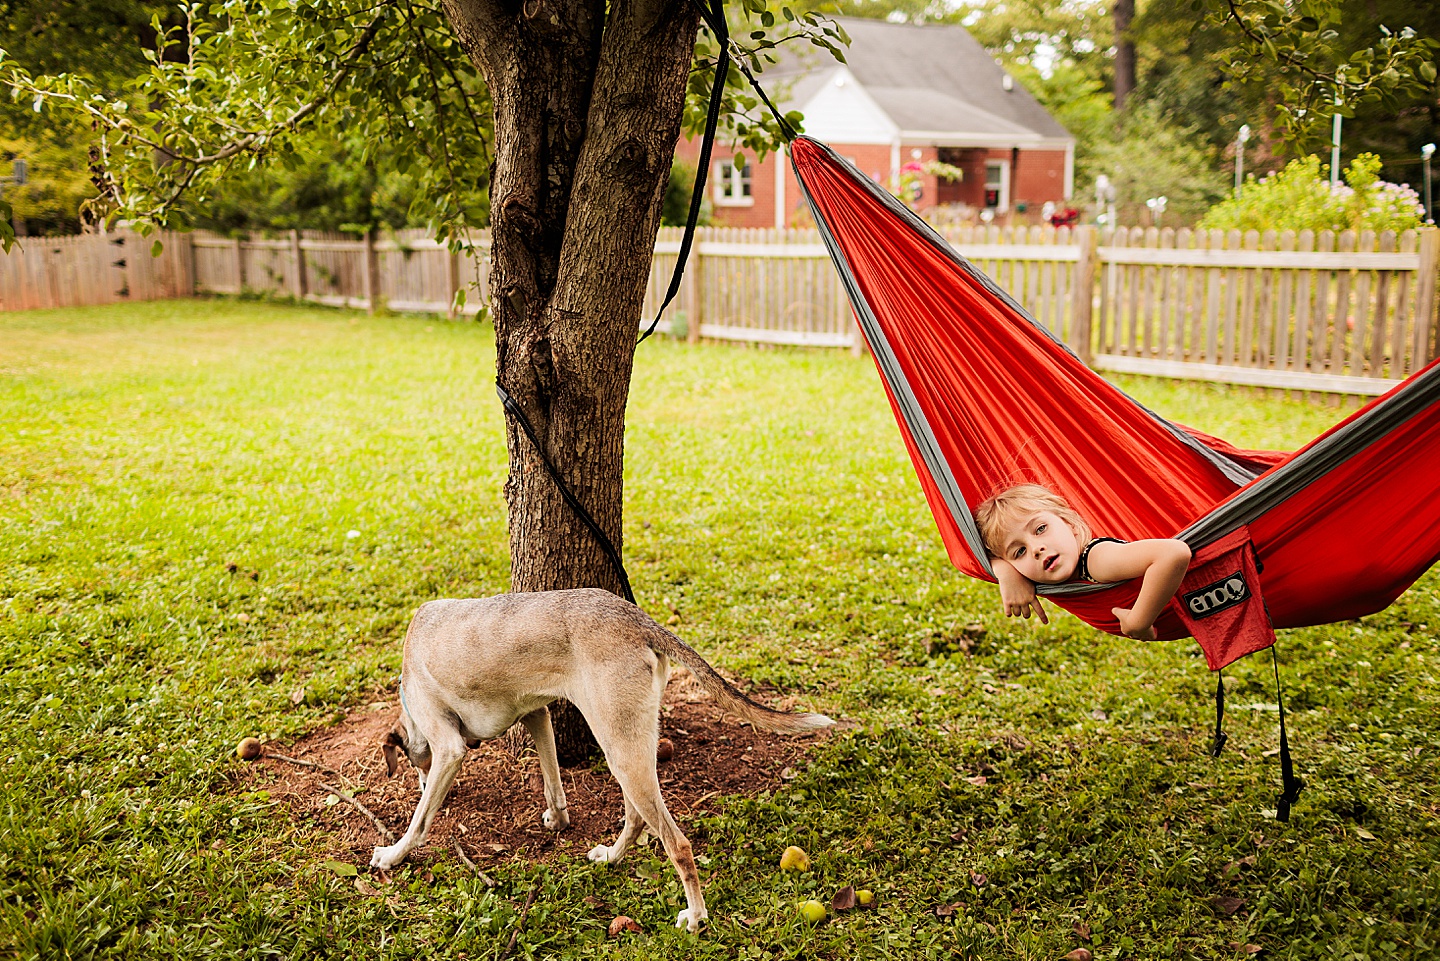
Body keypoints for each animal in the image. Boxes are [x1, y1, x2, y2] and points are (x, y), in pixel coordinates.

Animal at [371, 587, 835, 933]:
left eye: (414, 763)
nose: (421, 781)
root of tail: (636, 618)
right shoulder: (538, 715)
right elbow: (553, 780)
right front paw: (557, 819)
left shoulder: (450, 748)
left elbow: (420, 821)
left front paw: (394, 853)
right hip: (625, 744)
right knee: (637, 818)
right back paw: (613, 857)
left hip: (620, 748)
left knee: (677, 843)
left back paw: (696, 916)